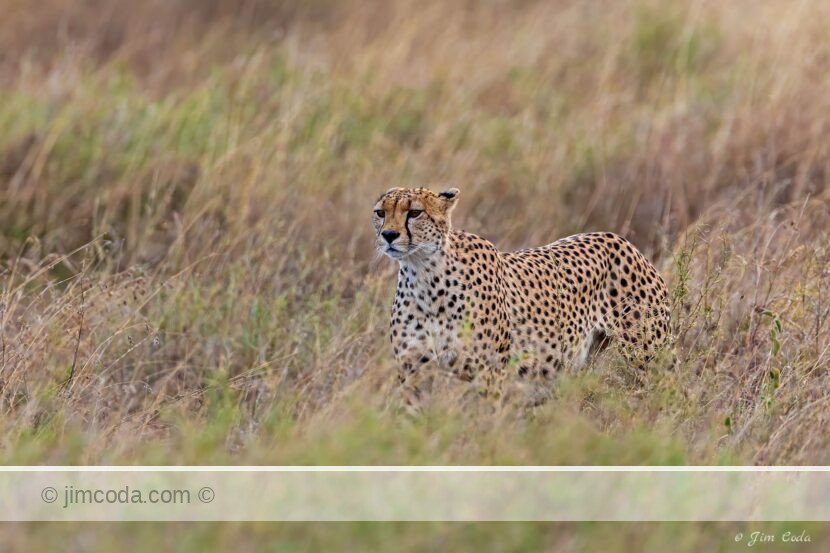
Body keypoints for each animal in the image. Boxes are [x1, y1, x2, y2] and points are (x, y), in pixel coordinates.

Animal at [372, 186, 671, 398]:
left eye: (414, 213)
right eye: (380, 213)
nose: (389, 235)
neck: (425, 275)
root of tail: (617, 238)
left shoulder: (488, 374)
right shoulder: (413, 371)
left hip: (649, 358)